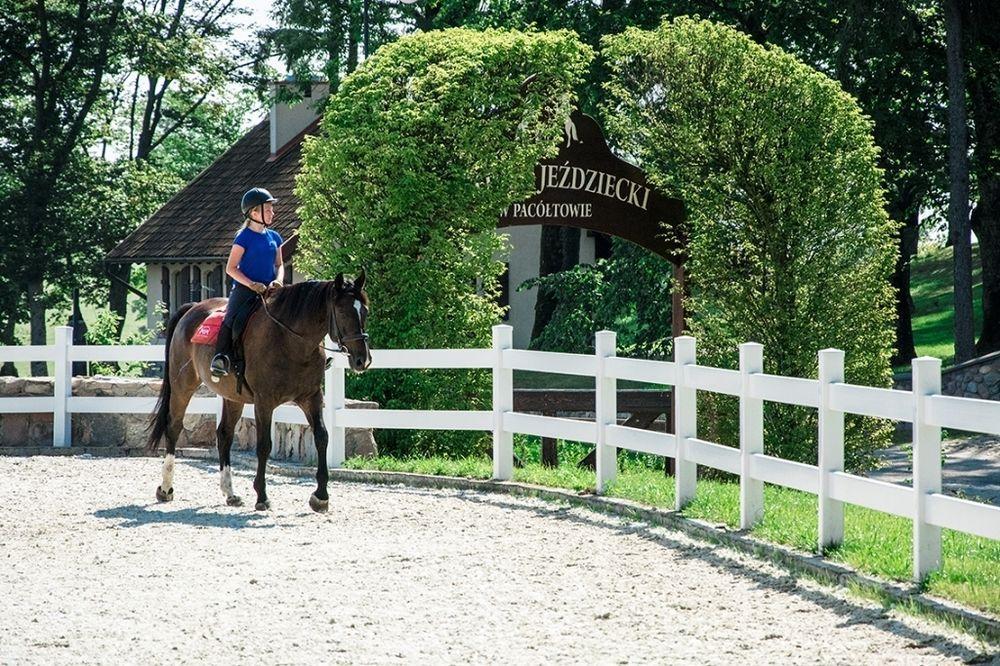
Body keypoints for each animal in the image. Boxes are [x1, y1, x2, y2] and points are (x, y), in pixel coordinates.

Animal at [146, 270, 370, 508]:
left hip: (232, 397)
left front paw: (320, 496)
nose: (362, 360)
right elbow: (264, 445)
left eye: (365, 311)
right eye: (342, 311)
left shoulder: (312, 397)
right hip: (183, 386)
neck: (290, 341)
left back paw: (230, 493)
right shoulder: (264, 401)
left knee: (224, 434)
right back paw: (166, 489)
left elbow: (322, 437)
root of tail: (192, 308)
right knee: (173, 427)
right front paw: (262, 496)